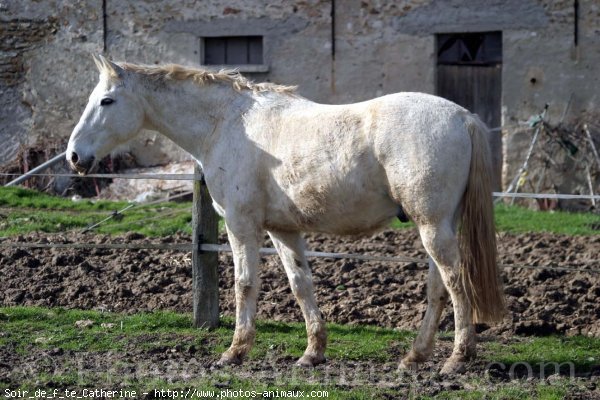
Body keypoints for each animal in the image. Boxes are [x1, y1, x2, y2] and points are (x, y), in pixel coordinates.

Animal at [67, 55, 506, 376]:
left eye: (106, 101)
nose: (74, 156)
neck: (227, 124)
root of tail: (463, 117)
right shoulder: (283, 230)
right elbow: (301, 286)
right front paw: (312, 353)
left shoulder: (241, 225)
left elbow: (245, 285)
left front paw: (235, 351)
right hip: (437, 225)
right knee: (438, 288)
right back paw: (415, 356)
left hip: (432, 226)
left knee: (455, 282)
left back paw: (457, 358)